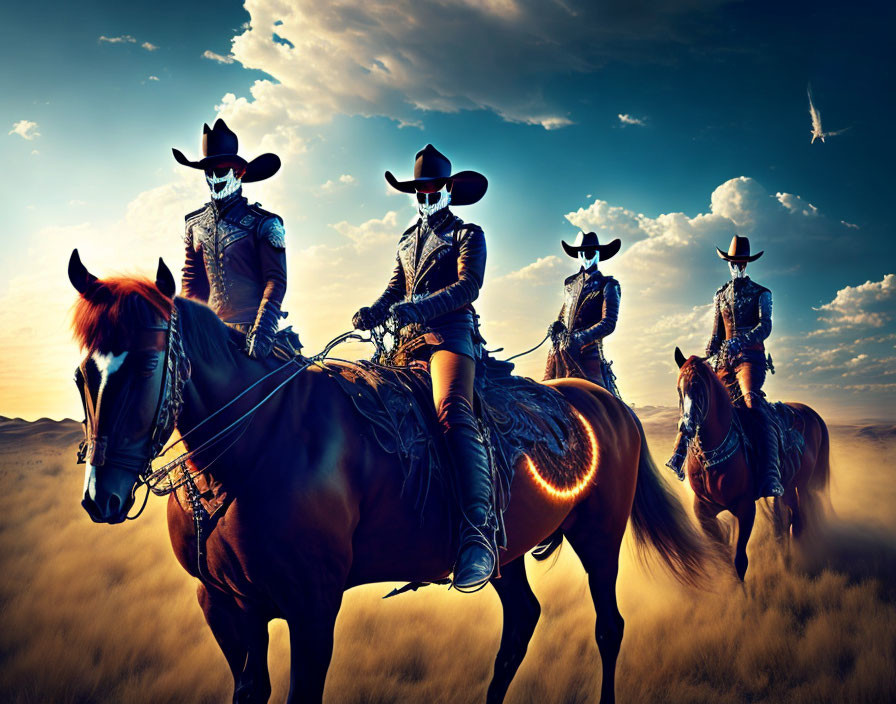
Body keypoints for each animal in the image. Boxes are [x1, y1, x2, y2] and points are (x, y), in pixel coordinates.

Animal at [68, 250, 712, 700]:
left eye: (147, 364)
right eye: (81, 374)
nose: (102, 498)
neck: (256, 445)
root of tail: (604, 403)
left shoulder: (312, 607)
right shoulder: (226, 604)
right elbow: (250, 689)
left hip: (599, 534)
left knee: (608, 626)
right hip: (505, 549)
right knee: (522, 619)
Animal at [672, 348, 832, 584]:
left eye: (700, 387)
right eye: (679, 388)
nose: (687, 426)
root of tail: (811, 413)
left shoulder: (746, 508)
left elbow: (740, 561)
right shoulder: (703, 510)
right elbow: (722, 552)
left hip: (804, 485)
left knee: (799, 521)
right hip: (788, 487)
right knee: (790, 519)